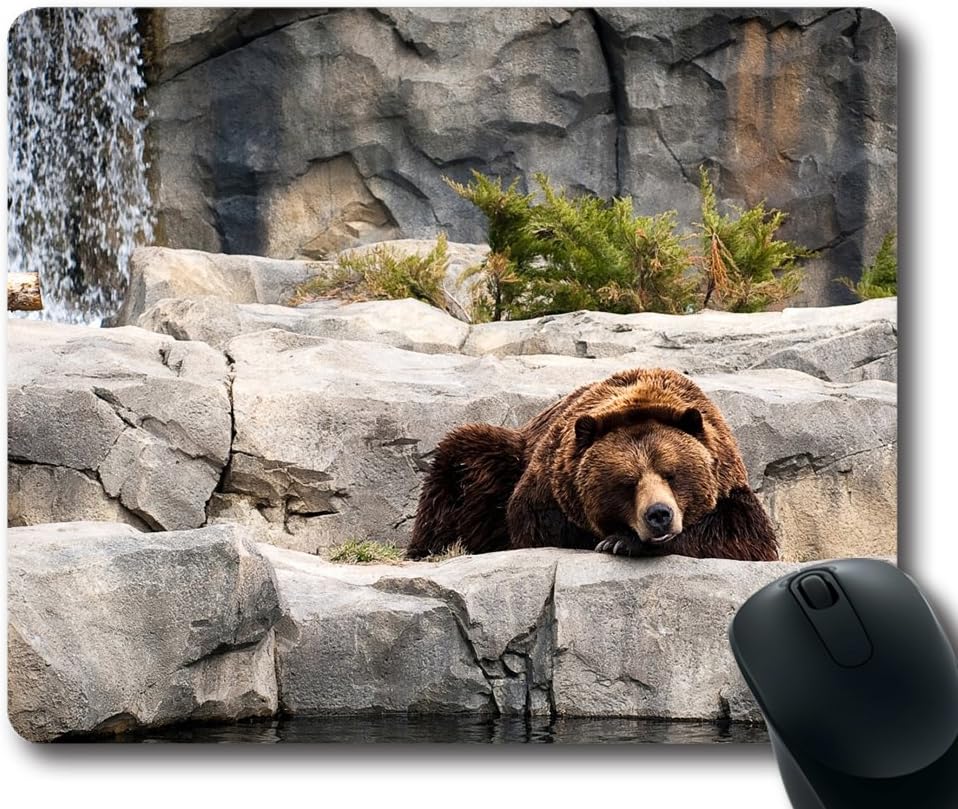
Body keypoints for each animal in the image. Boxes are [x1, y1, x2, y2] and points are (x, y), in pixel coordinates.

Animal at [407, 367, 778, 562]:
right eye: (627, 482)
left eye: (671, 474)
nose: (659, 514)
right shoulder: (549, 483)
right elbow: (537, 524)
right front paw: (617, 539)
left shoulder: (728, 483)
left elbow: (743, 536)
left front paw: (623, 542)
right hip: (503, 457)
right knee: (462, 462)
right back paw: (429, 548)